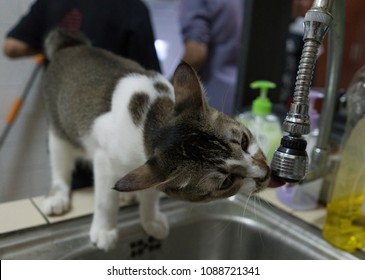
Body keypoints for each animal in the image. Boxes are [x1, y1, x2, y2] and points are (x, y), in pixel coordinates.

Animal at [39, 28, 268, 252]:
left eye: (244, 141)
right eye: (226, 182)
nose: (266, 174)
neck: (149, 122)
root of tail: (71, 45)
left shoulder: (151, 169)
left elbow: (150, 194)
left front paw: (150, 220)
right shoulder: (104, 159)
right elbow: (106, 201)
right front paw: (105, 229)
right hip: (59, 134)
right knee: (60, 167)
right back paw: (58, 196)